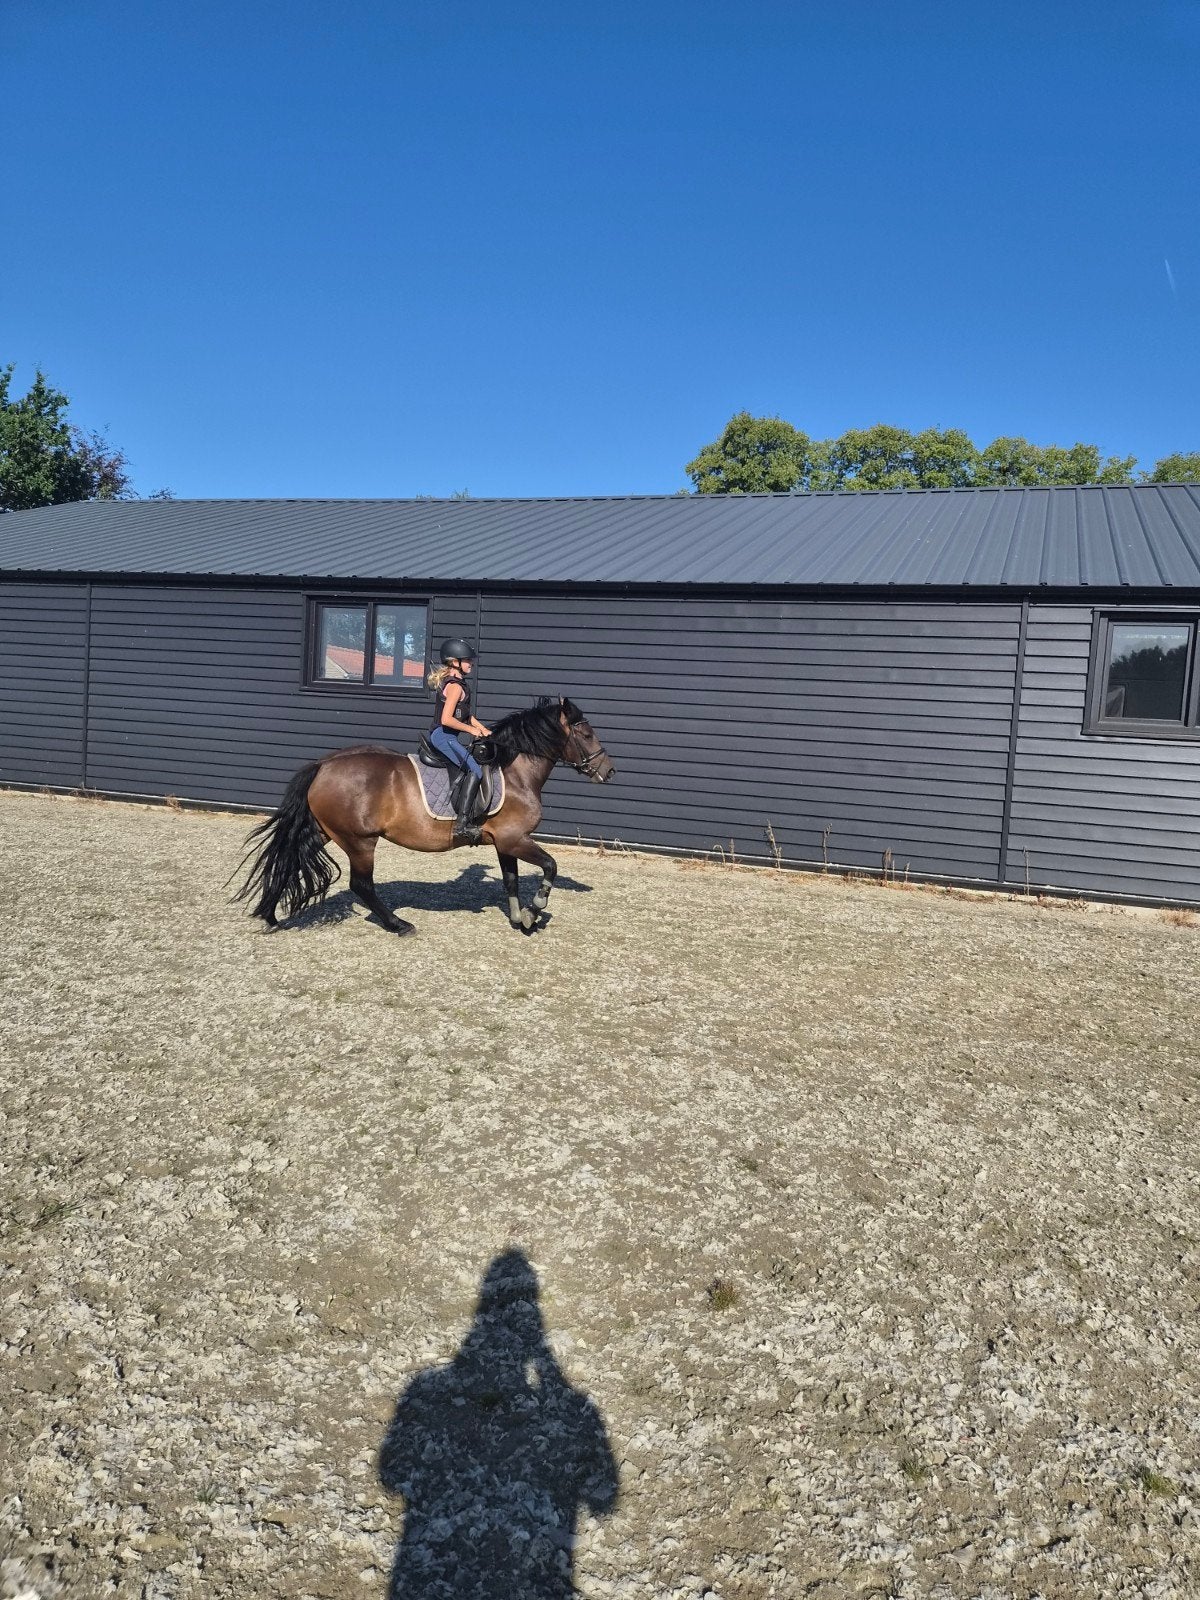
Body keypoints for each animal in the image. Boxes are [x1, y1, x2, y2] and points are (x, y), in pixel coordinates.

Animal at [232, 696, 615, 936]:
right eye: (585, 733)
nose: (608, 771)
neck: (515, 770)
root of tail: (324, 764)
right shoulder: (515, 839)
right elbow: (550, 866)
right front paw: (535, 910)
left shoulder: (505, 842)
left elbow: (511, 881)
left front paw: (521, 919)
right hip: (359, 841)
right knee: (361, 884)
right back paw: (399, 925)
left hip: (324, 831)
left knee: (288, 859)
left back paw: (270, 914)